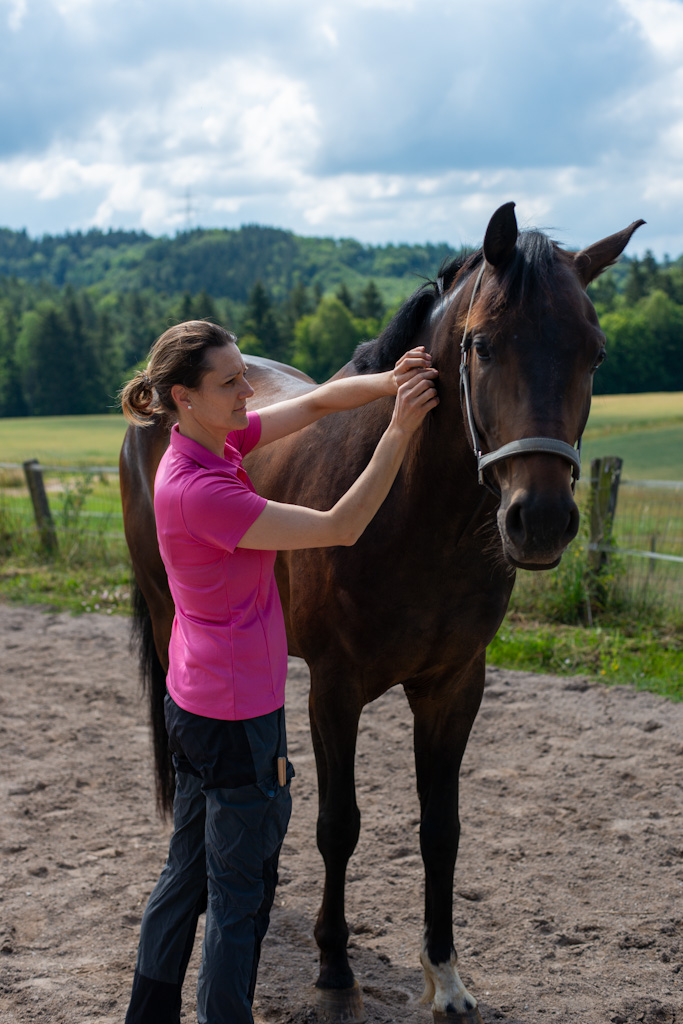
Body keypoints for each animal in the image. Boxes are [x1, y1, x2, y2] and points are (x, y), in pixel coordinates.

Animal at [121, 203, 647, 1019]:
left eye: (593, 353)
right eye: (483, 344)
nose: (541, 521)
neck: (418, 516)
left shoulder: (454, 687)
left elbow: (441, 831)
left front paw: (446, 975)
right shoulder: (336, 689)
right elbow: (339, 825)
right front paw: (335, 968)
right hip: (166, 613)